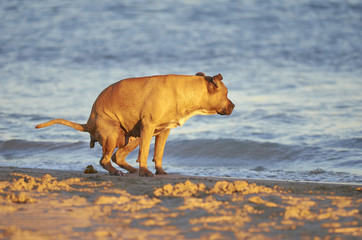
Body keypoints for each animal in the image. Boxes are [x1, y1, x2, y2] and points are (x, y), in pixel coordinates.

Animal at [36, 72, 235, 176]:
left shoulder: (163, 132)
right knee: (105, 159)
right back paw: (116, 172)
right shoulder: (149, 127)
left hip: (131, 137)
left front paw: (159, 171)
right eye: (226, 94)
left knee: (117, 156)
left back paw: (130, 170)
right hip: (114, 135)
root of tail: (89, 122)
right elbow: (145, 153)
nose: (233, 106)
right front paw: (145, 171)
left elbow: (158, 153)